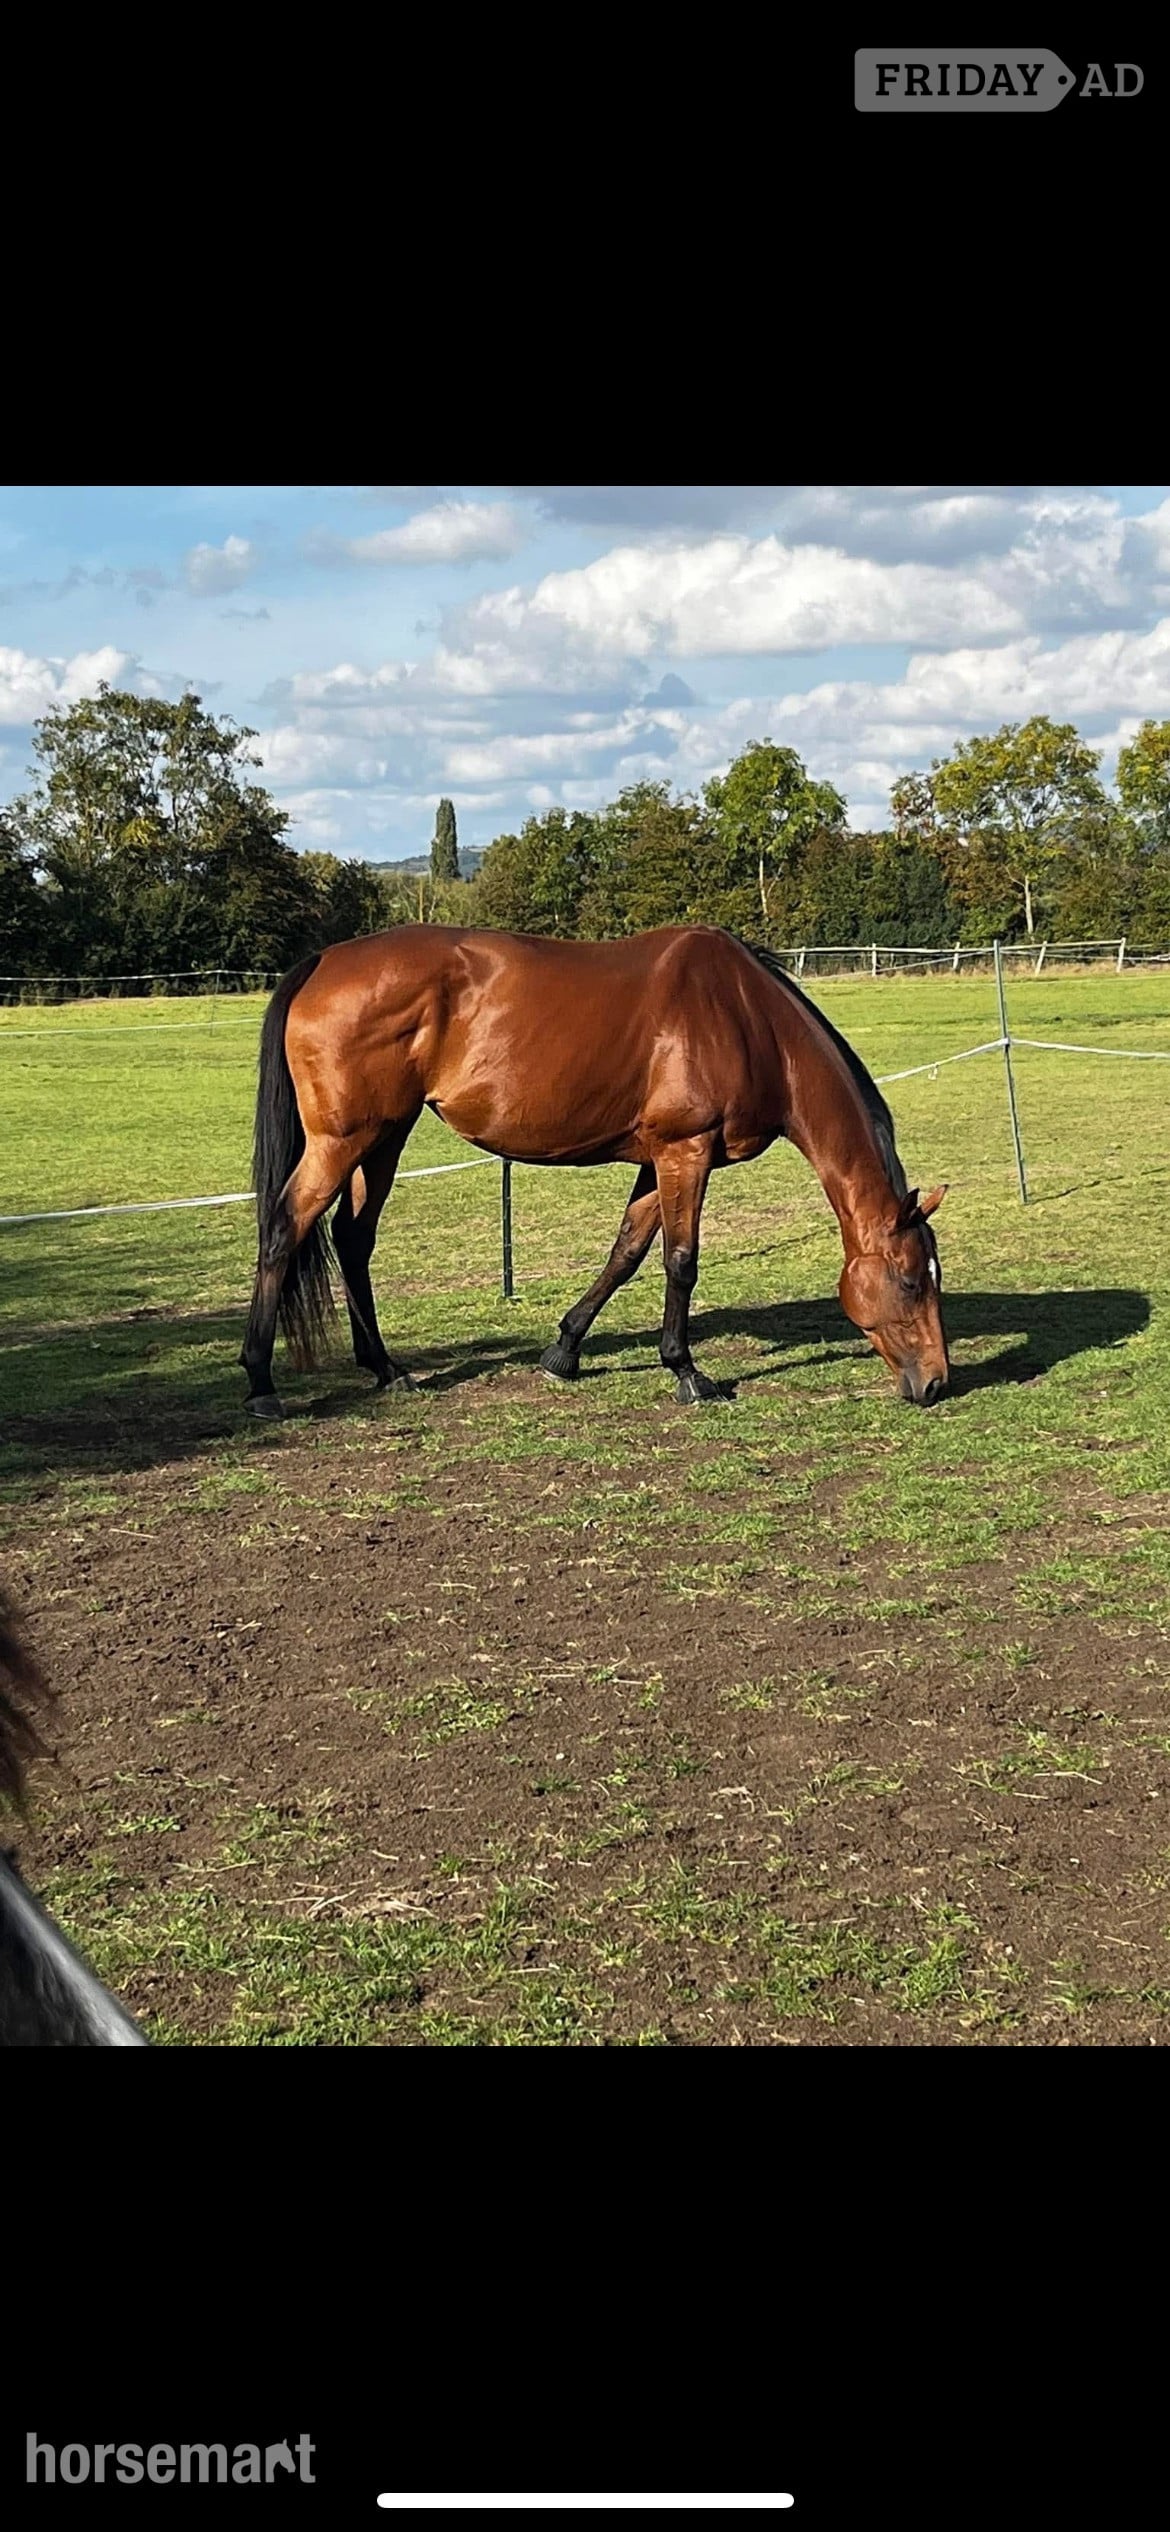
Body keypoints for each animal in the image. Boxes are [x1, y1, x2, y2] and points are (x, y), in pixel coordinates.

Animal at [241, 924, 949, 1418]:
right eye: (912, 1281)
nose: (937, 1382)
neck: (749, 1020)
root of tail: (322, 962)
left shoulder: (658, 1159)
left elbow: (626, 1252)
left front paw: (564, 1350)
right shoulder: (685, 1153)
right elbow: (680, 1262)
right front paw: (687, 1372)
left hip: (384, 1138)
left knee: (352, 1239)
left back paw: (387, 1370)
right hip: (343, 1142)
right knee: (284, 1228)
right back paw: (260, 1383)